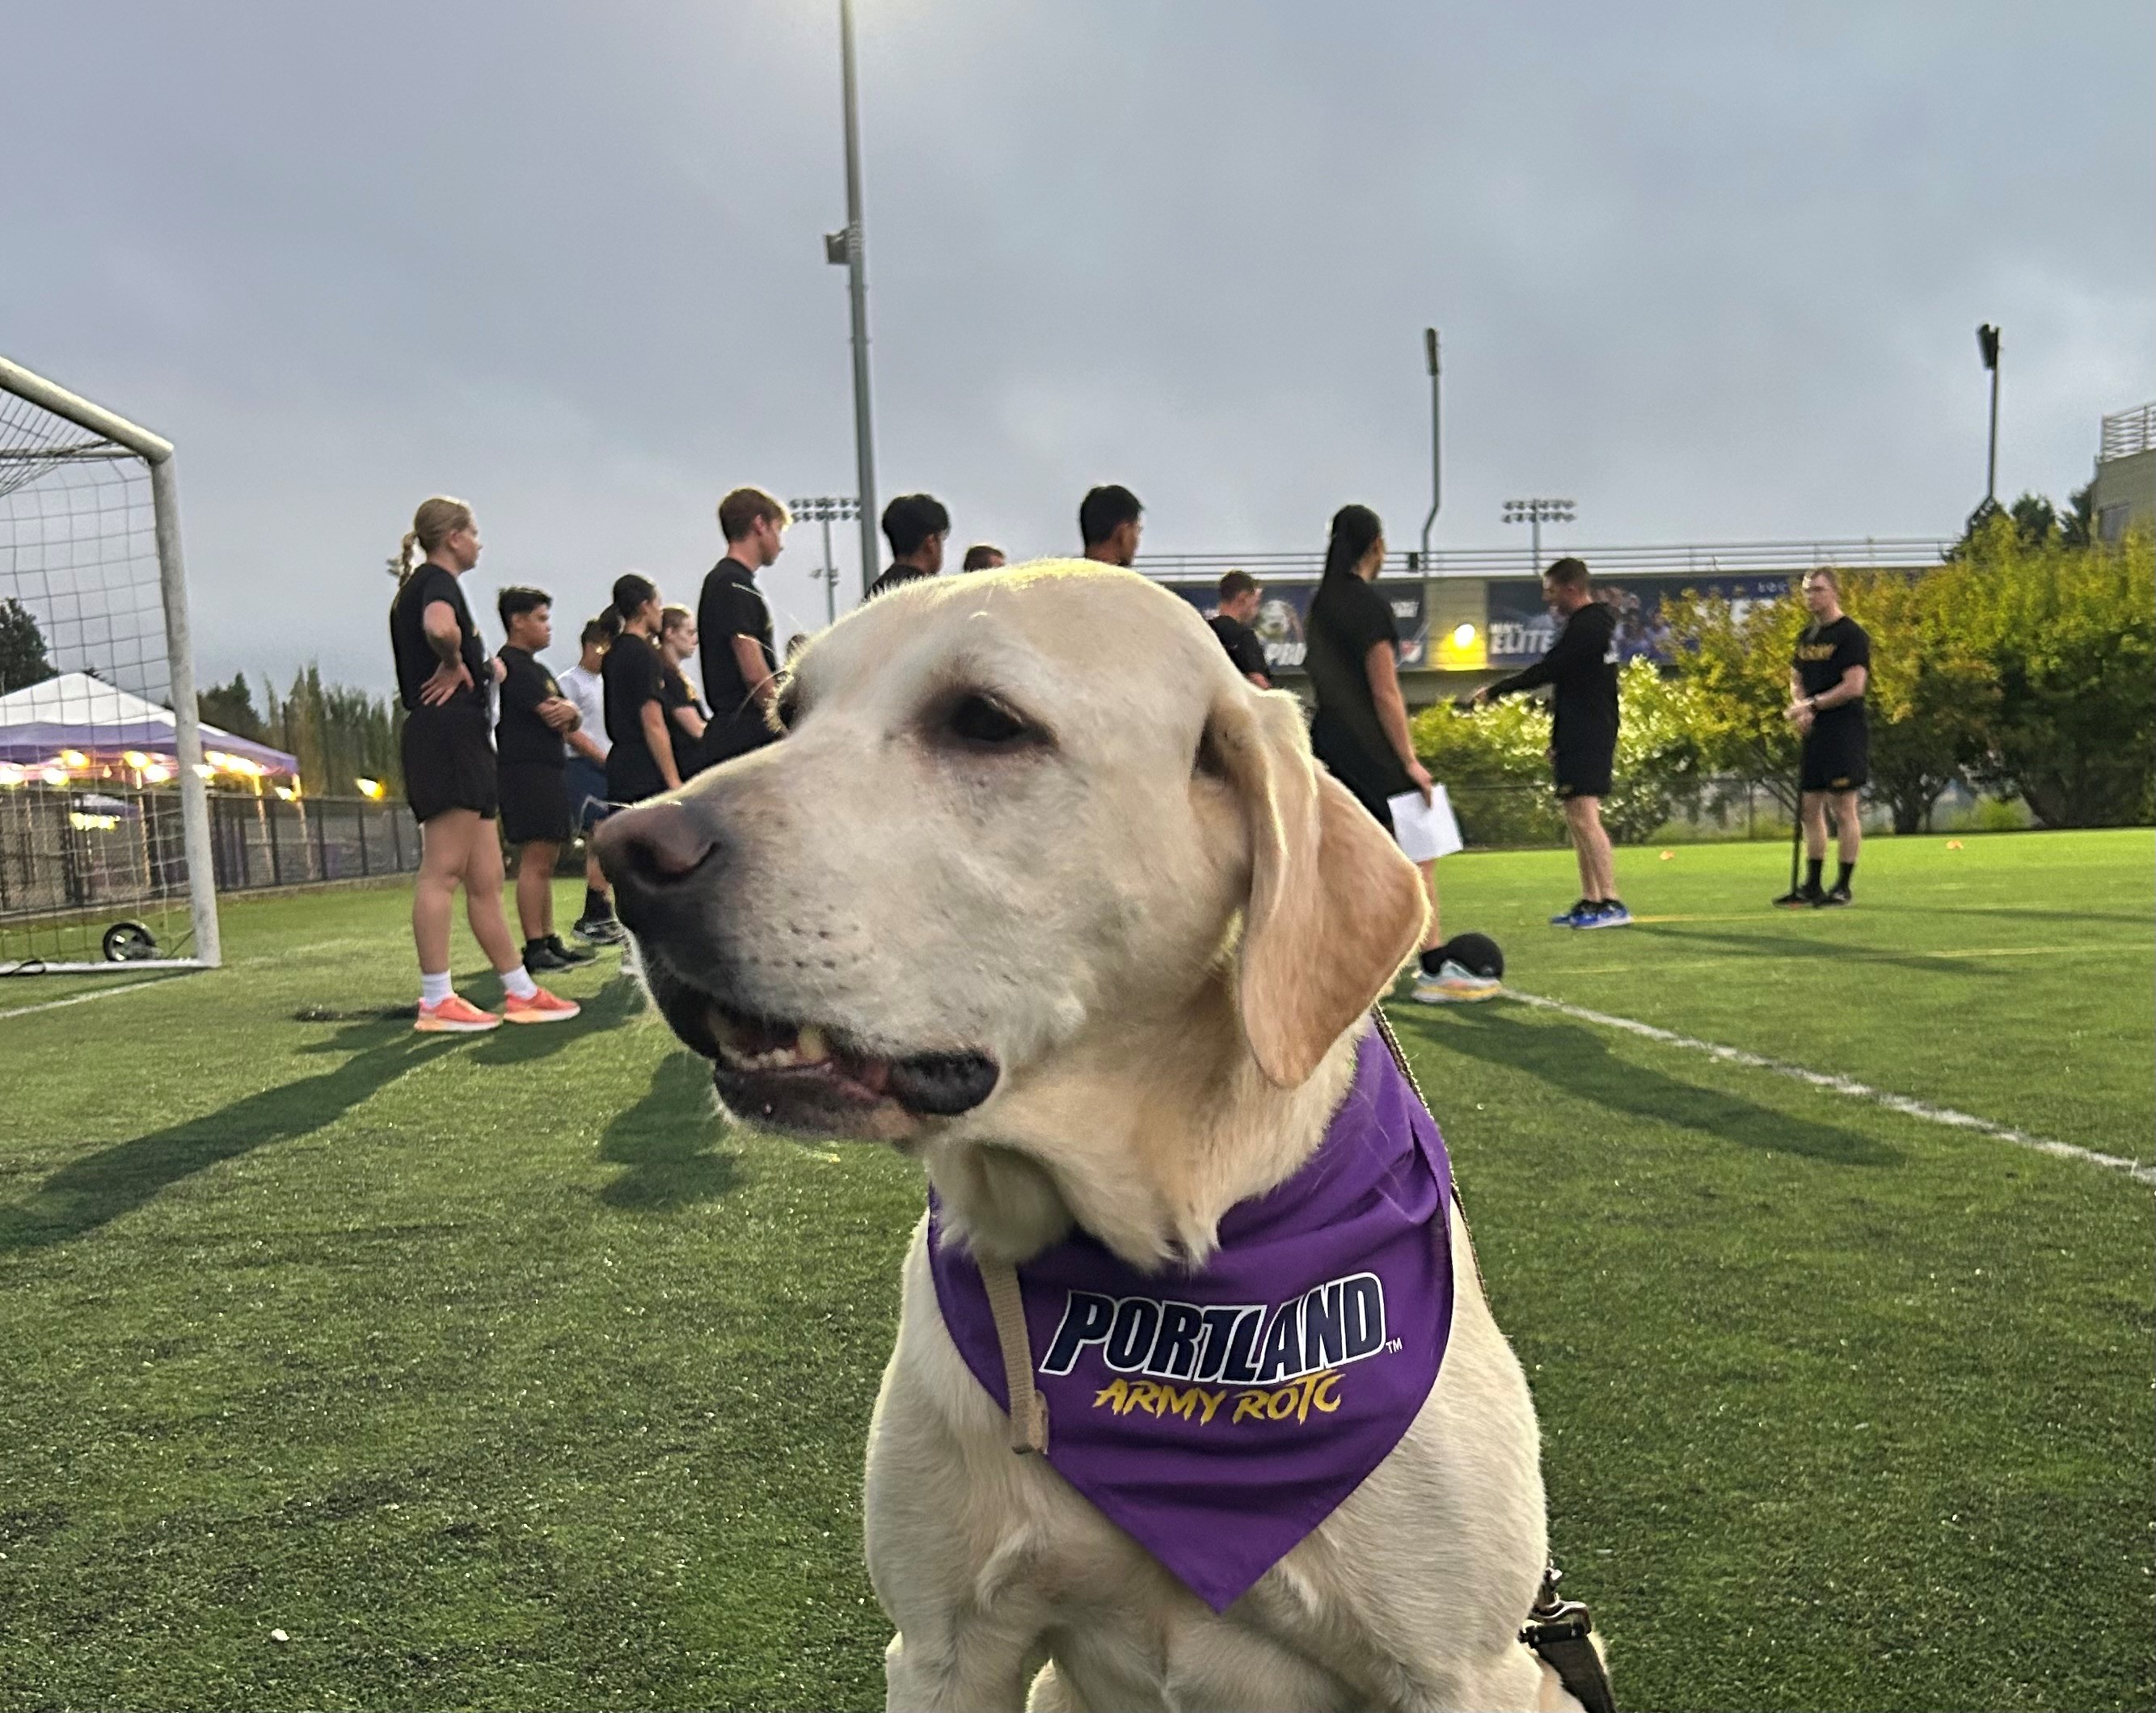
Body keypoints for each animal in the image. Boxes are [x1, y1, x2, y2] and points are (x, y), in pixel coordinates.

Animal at [599, 564, 1595, 1713]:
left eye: (986, 721)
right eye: (790, 714)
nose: (621, 853)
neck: (1154, 1279)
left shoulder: (1461, 1671)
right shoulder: (944, 1650)